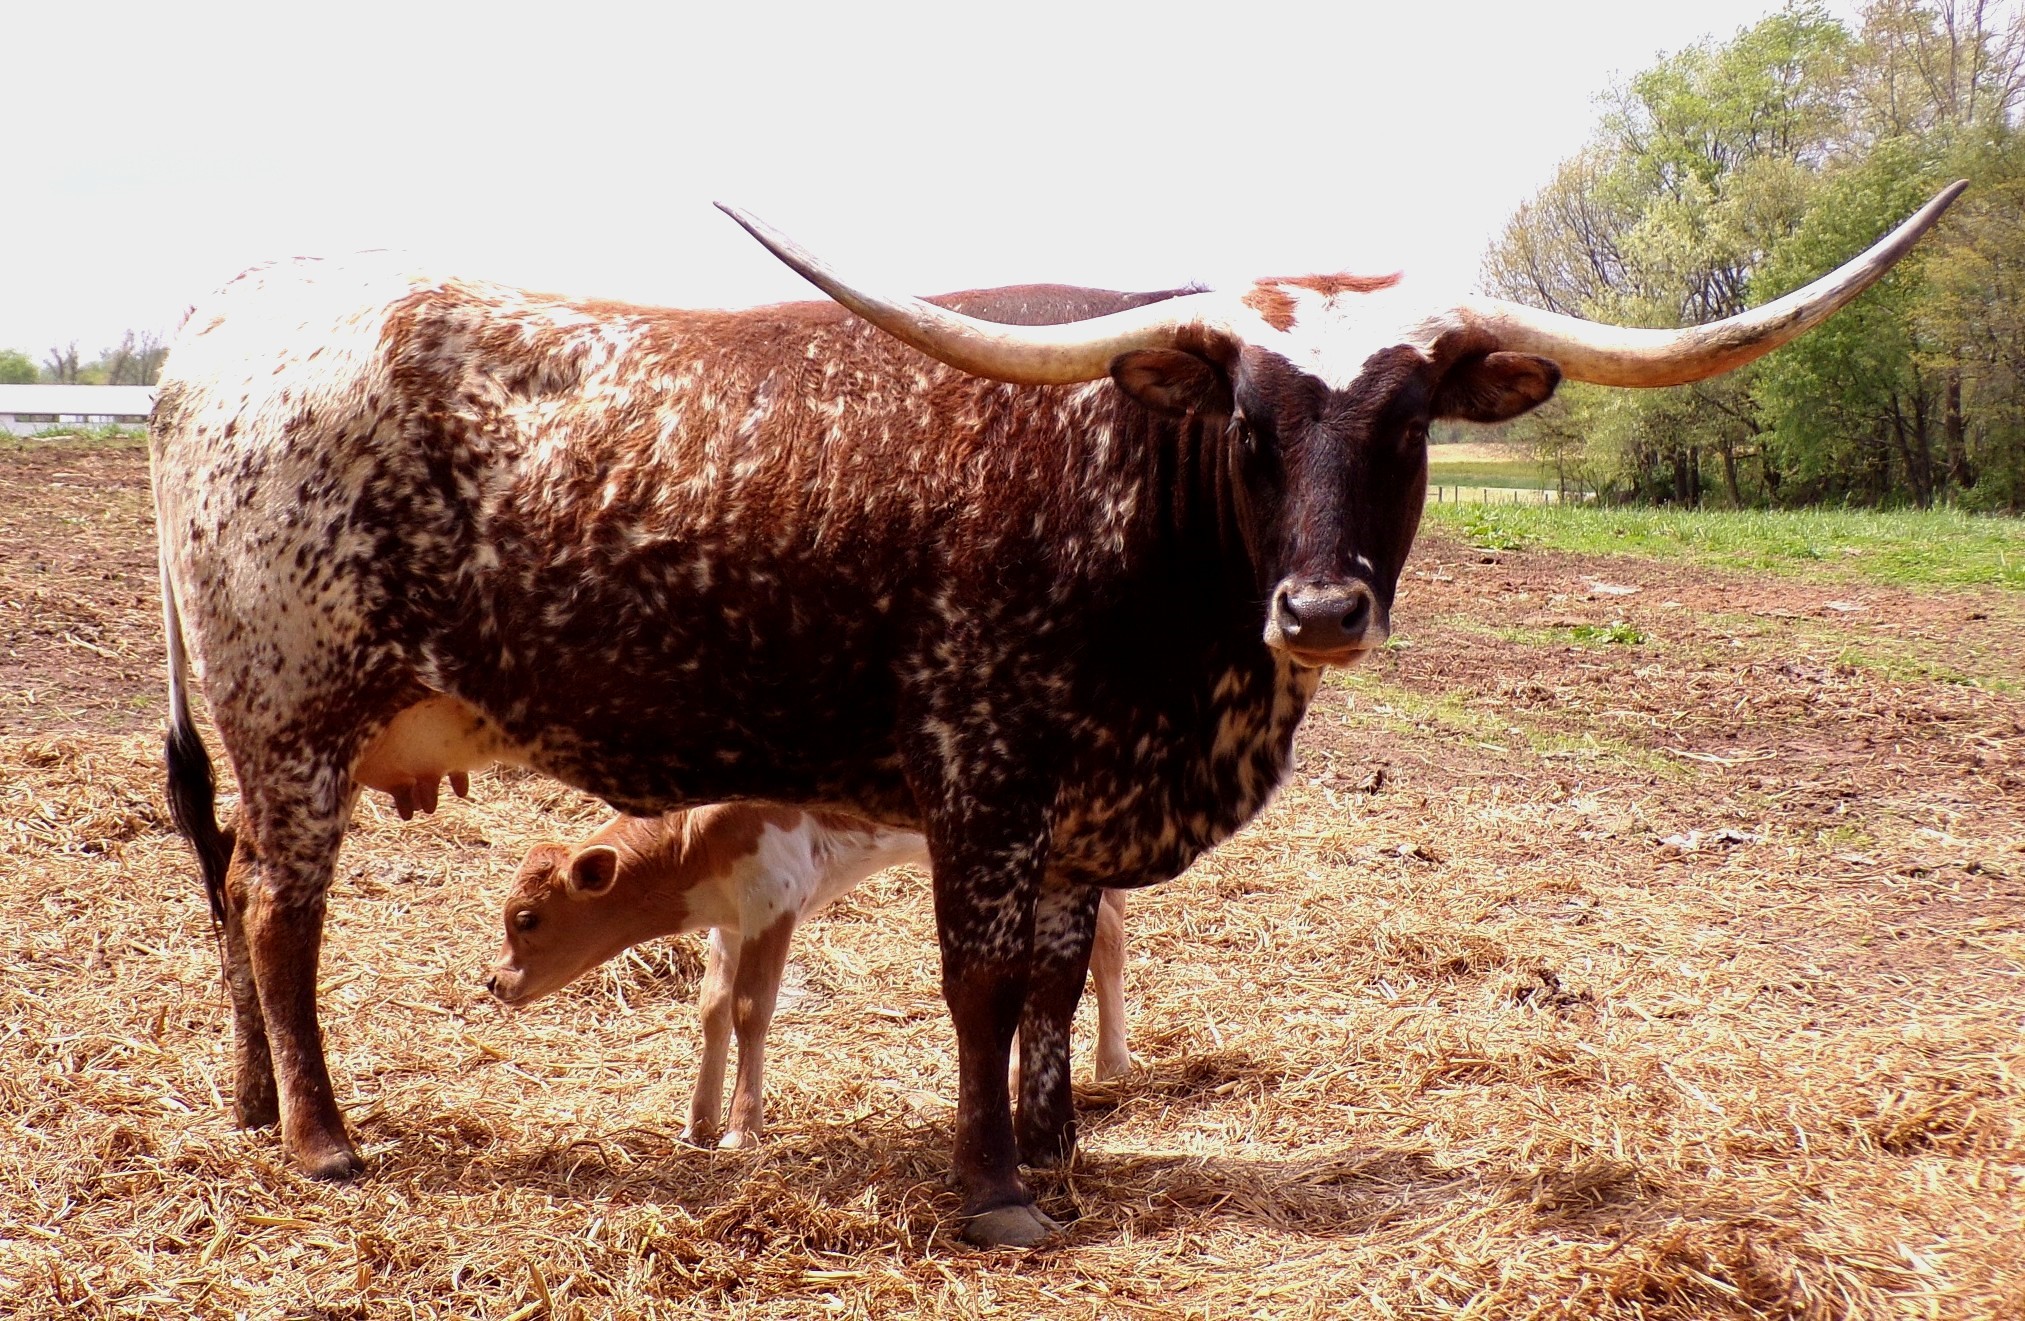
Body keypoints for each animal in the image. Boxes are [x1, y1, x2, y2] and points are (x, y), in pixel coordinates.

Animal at [486, 806, 1133, 1149]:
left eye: (527, 918)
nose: (496, 983)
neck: (693, 835)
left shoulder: (774, 895)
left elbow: (751, 1009)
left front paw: (741, 1130)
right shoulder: (730, 917)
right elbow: (713, 1008)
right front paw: (698, 1122)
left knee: (1100, 938)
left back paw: (1108, 1064)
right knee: (1105, 931)